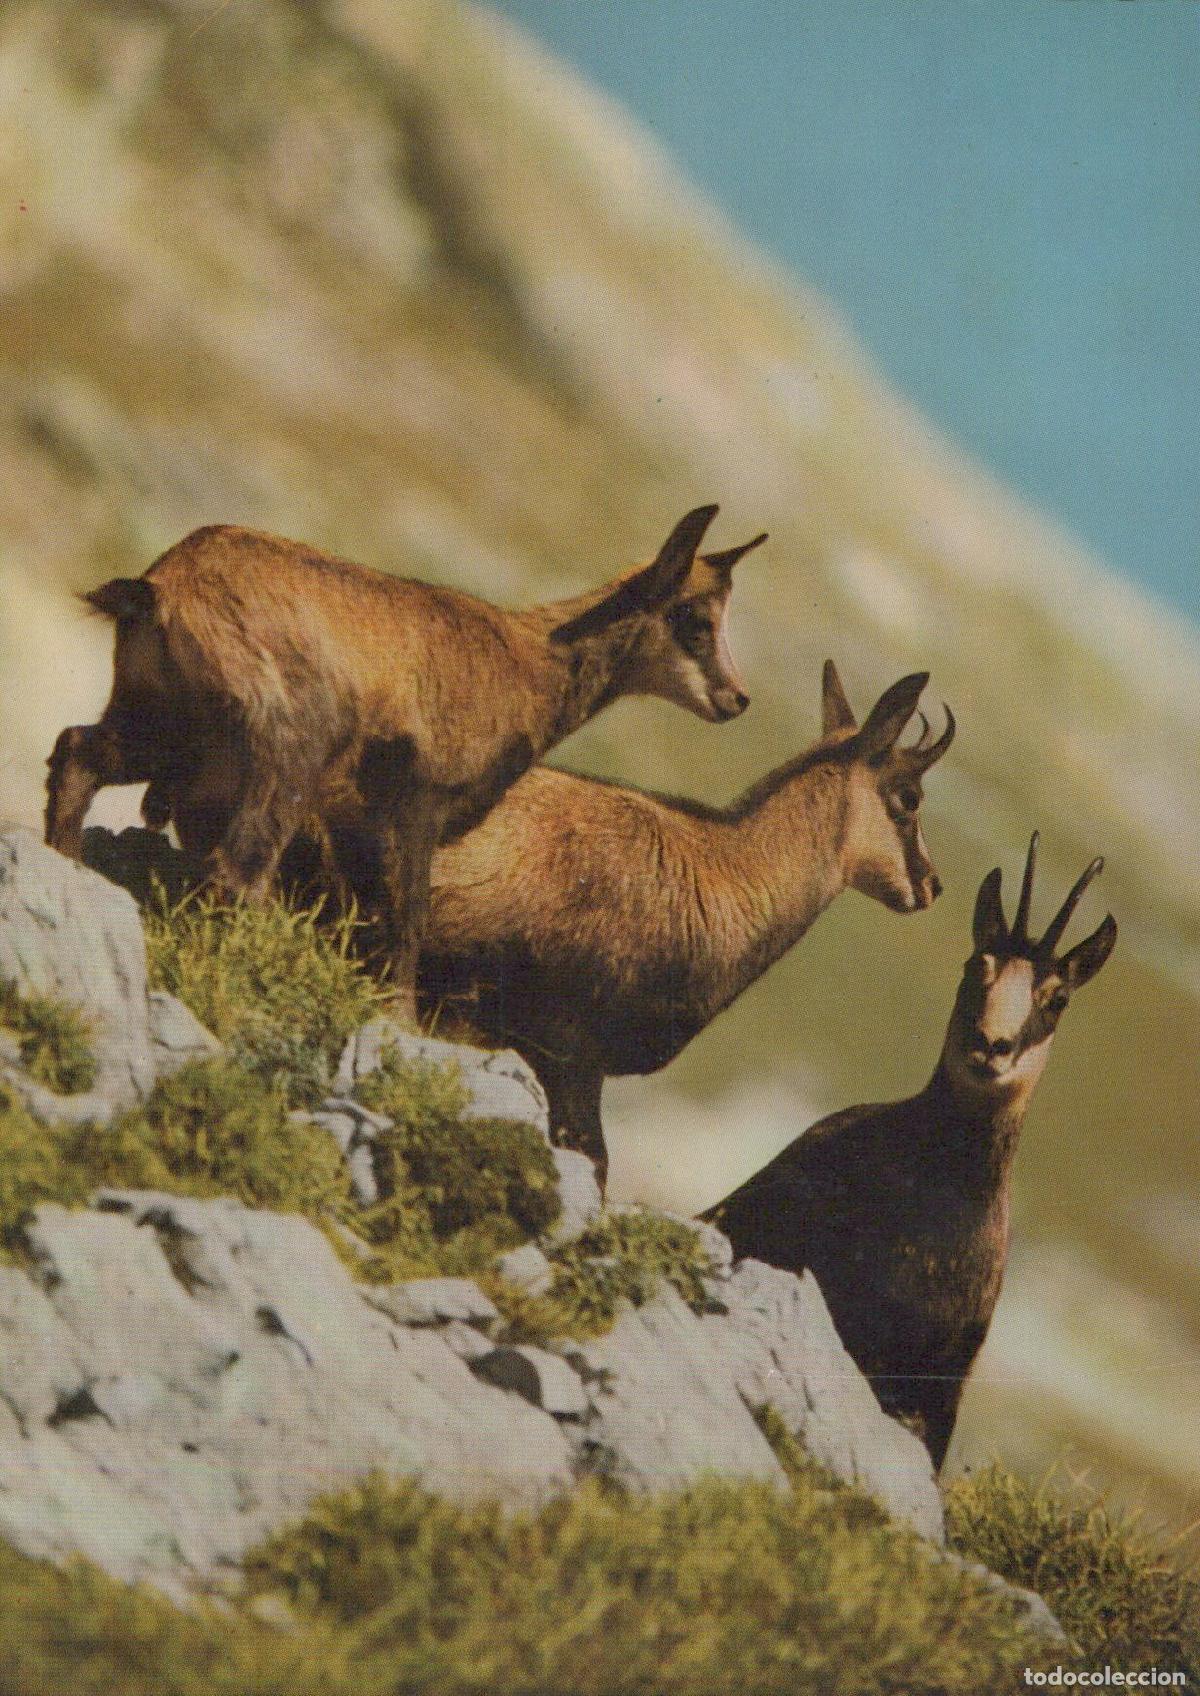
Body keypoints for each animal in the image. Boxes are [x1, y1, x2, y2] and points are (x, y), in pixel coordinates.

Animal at [46, 509, 762, 1007]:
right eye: (696, 619)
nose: (737, 698)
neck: (531, 662)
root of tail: (164, 587)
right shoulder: (419, 801)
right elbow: (409, 917)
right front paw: (400, 1015)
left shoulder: (362, 826)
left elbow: (372, 913)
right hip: (284, 748)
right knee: (238, 868)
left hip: (166, 727)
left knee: (79, 754)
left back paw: (71, 871)